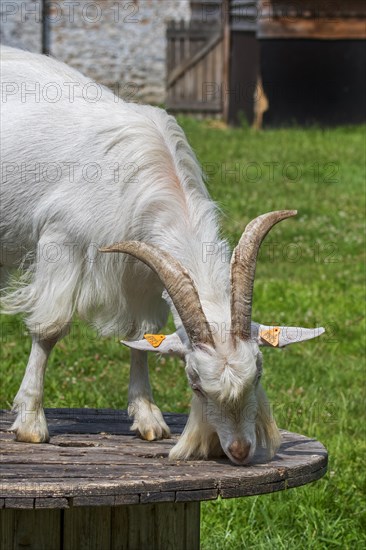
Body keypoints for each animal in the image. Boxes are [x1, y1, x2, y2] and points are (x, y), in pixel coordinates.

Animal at [0, 47, 326, 468]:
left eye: (258, 374)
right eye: (195, 382)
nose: (238, 451)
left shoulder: (143, 272)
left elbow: (141, 336)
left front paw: (147, 418)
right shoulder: (60, 241)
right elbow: (50, 328)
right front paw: (30, 422)